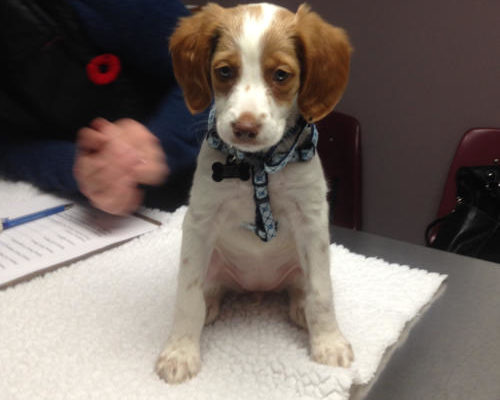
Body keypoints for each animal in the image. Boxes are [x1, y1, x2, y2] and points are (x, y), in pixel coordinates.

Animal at [158, 3, 354, 384]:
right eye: (224, 71)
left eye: (280, 75)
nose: (244, 128)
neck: (257, 166)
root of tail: (257, 288)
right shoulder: (201, 219)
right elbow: (187, 296)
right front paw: (180, 351)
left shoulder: (311, 219)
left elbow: (321, 292)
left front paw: (329, 342)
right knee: (206, 291)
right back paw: (211, 304)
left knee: (303, 287)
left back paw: (300, 307)